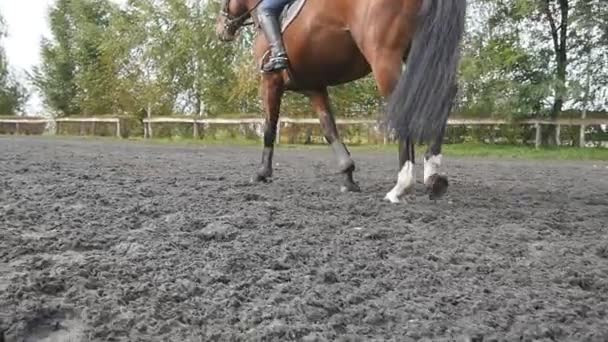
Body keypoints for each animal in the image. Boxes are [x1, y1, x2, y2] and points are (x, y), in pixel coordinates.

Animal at [216, 0, 468, 203]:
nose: (220, 29)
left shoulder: (270, 81)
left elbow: (269, 127)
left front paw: (262, 173)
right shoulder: (314, 87)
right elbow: (329, 129)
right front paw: (348, 176)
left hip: (384, 58)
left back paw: (401, 186)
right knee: (441, 96)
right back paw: (434, 177)